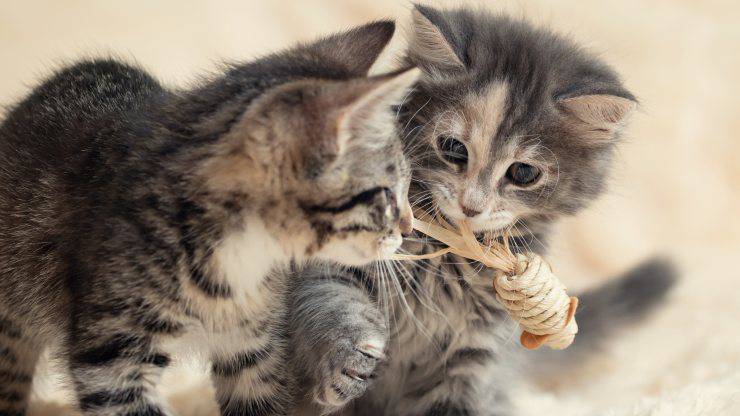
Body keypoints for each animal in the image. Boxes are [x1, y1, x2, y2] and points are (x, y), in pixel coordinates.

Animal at [290, 6, 676, 416]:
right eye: (454, 149)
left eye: (523, 173)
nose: (471, 206)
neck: (445, 260)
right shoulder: (332, 261)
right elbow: (335, 304)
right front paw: (347, 363)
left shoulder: (477, 353)